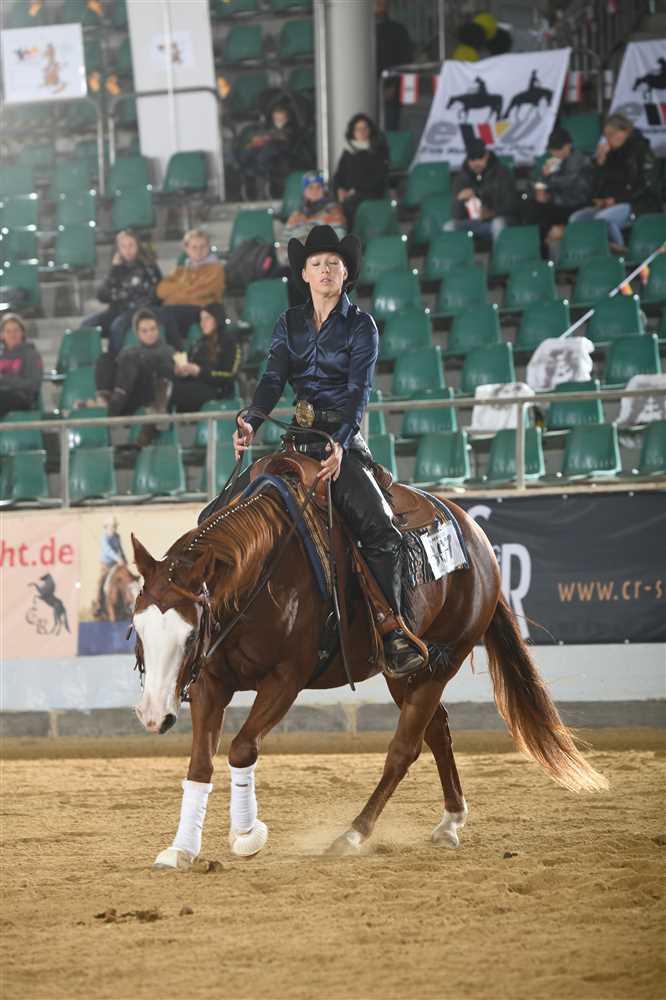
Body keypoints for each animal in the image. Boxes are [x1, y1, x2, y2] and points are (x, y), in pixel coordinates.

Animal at [129, 481, 607, 869]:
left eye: (191, 634)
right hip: (404, 670)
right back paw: (451, 821)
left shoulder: (286, 678)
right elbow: (200, 763)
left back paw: (353, 834)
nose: (152, 715)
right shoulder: (211, 681)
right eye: (137, 627)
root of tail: (477, 538)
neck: (262, 577)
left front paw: (247, 835)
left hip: (445, 660)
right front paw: (182, 848)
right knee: (438, 731)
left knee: (405, 748)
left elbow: (243, 748)